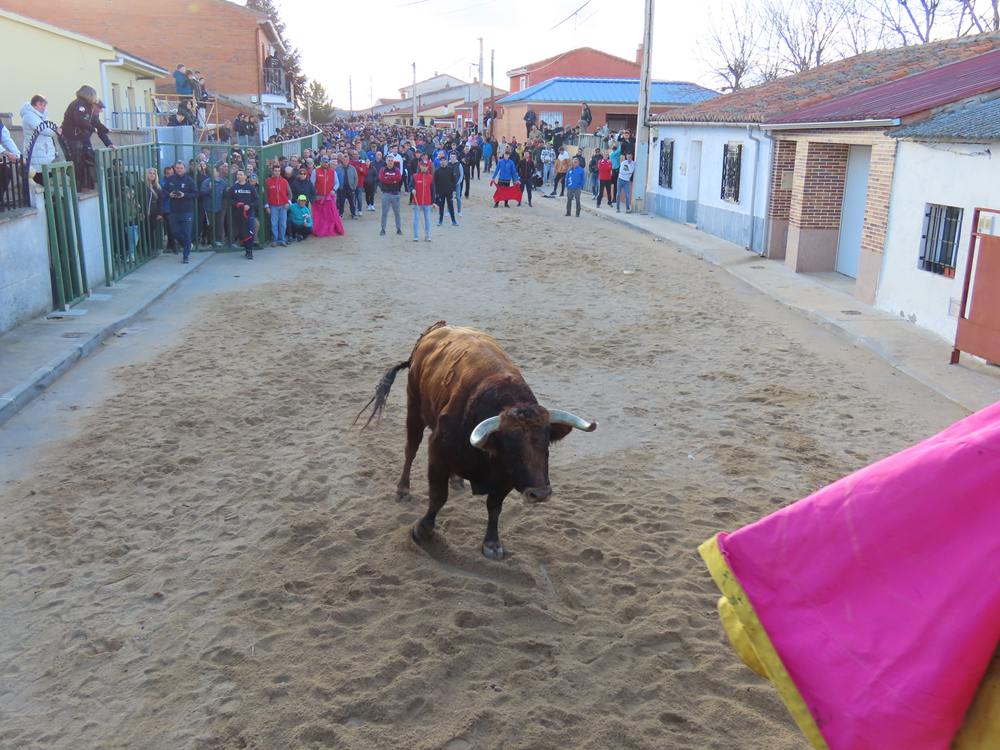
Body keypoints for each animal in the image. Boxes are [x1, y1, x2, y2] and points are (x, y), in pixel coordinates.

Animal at [358, 320, 596, 560]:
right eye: (511, 449)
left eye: (546, 444)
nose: (539, 494)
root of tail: (436, 329)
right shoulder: (437, 453)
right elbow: (438, 497)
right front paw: (422, 530)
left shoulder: (506, 477)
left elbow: (494, 506)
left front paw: (492, 543)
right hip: (414, 407)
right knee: (411, 449)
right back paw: (403, 489)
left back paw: (456, 480)